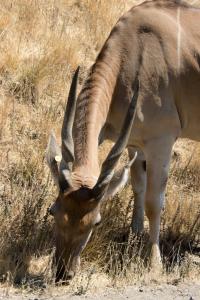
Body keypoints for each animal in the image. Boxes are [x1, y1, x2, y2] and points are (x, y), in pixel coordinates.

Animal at [46, 0, 200, 282]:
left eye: (96, 221)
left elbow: (154, 202)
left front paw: (154, 263)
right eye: (53, 210)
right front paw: (135, 234)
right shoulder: (133, 143)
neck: (134, 52)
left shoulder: (161, 142)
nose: (63, 273)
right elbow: (137, 185)